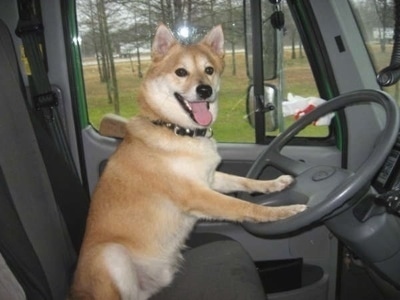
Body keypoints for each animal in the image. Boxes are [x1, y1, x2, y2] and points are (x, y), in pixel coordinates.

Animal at [69, 23, 306, 300]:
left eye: (209, 70)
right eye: (181, 72)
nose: (205, 90)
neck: (177, 130)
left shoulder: (210, 179)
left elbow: (245, 181)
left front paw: (276, 183)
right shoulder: (197, 194)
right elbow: (243, 207)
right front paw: (284, 212)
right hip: (112, 256)